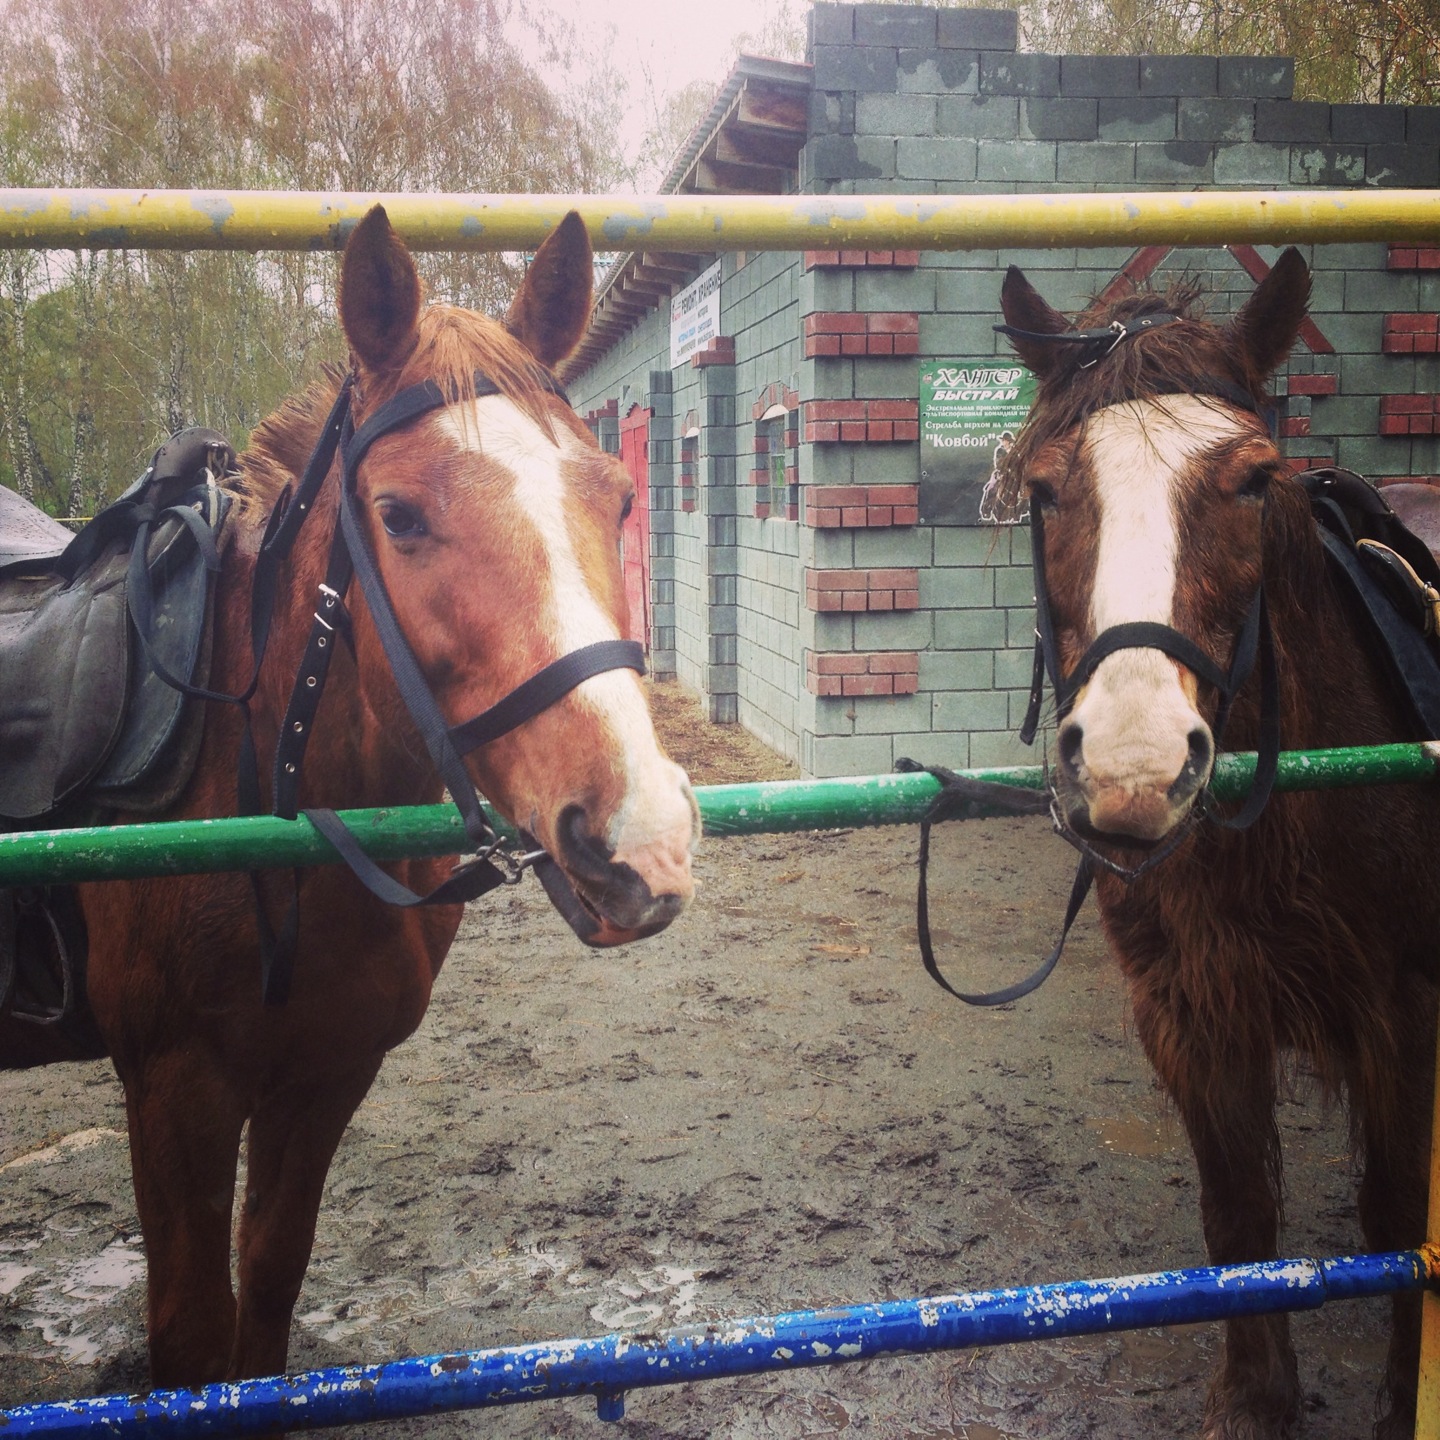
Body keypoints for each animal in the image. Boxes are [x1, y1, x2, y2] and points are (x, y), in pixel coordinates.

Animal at [1, 208, 696, 1388]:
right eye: (399, 514)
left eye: (617, 495)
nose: (639, 838)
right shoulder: (175, 1094)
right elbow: (193, 1337)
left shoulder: (326, 1075)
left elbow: (269, 1290)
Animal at [1002, 250, 1440, 1440]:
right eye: (1045, 490)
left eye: (1252, 481)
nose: (1134, 764)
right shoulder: (1193, 1010)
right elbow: (1240, 1214)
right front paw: (1255, 1402)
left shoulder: (1404, 1015)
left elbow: (1398, 1218)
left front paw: (1402, 1398)